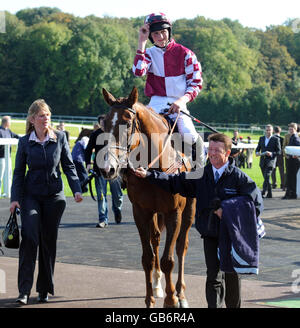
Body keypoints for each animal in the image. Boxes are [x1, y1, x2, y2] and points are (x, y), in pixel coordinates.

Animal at [98, 86, 197, 308]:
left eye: (127, 123)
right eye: (105, 123)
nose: (108, 169)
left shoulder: (174, 212)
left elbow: (170, 259)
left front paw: (172, 300)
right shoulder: (141, 212)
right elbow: (147, 258)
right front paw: (150, 299)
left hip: (189, 211)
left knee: (182, 247)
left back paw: (181, 294)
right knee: (156, 239)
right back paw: (158, 284)